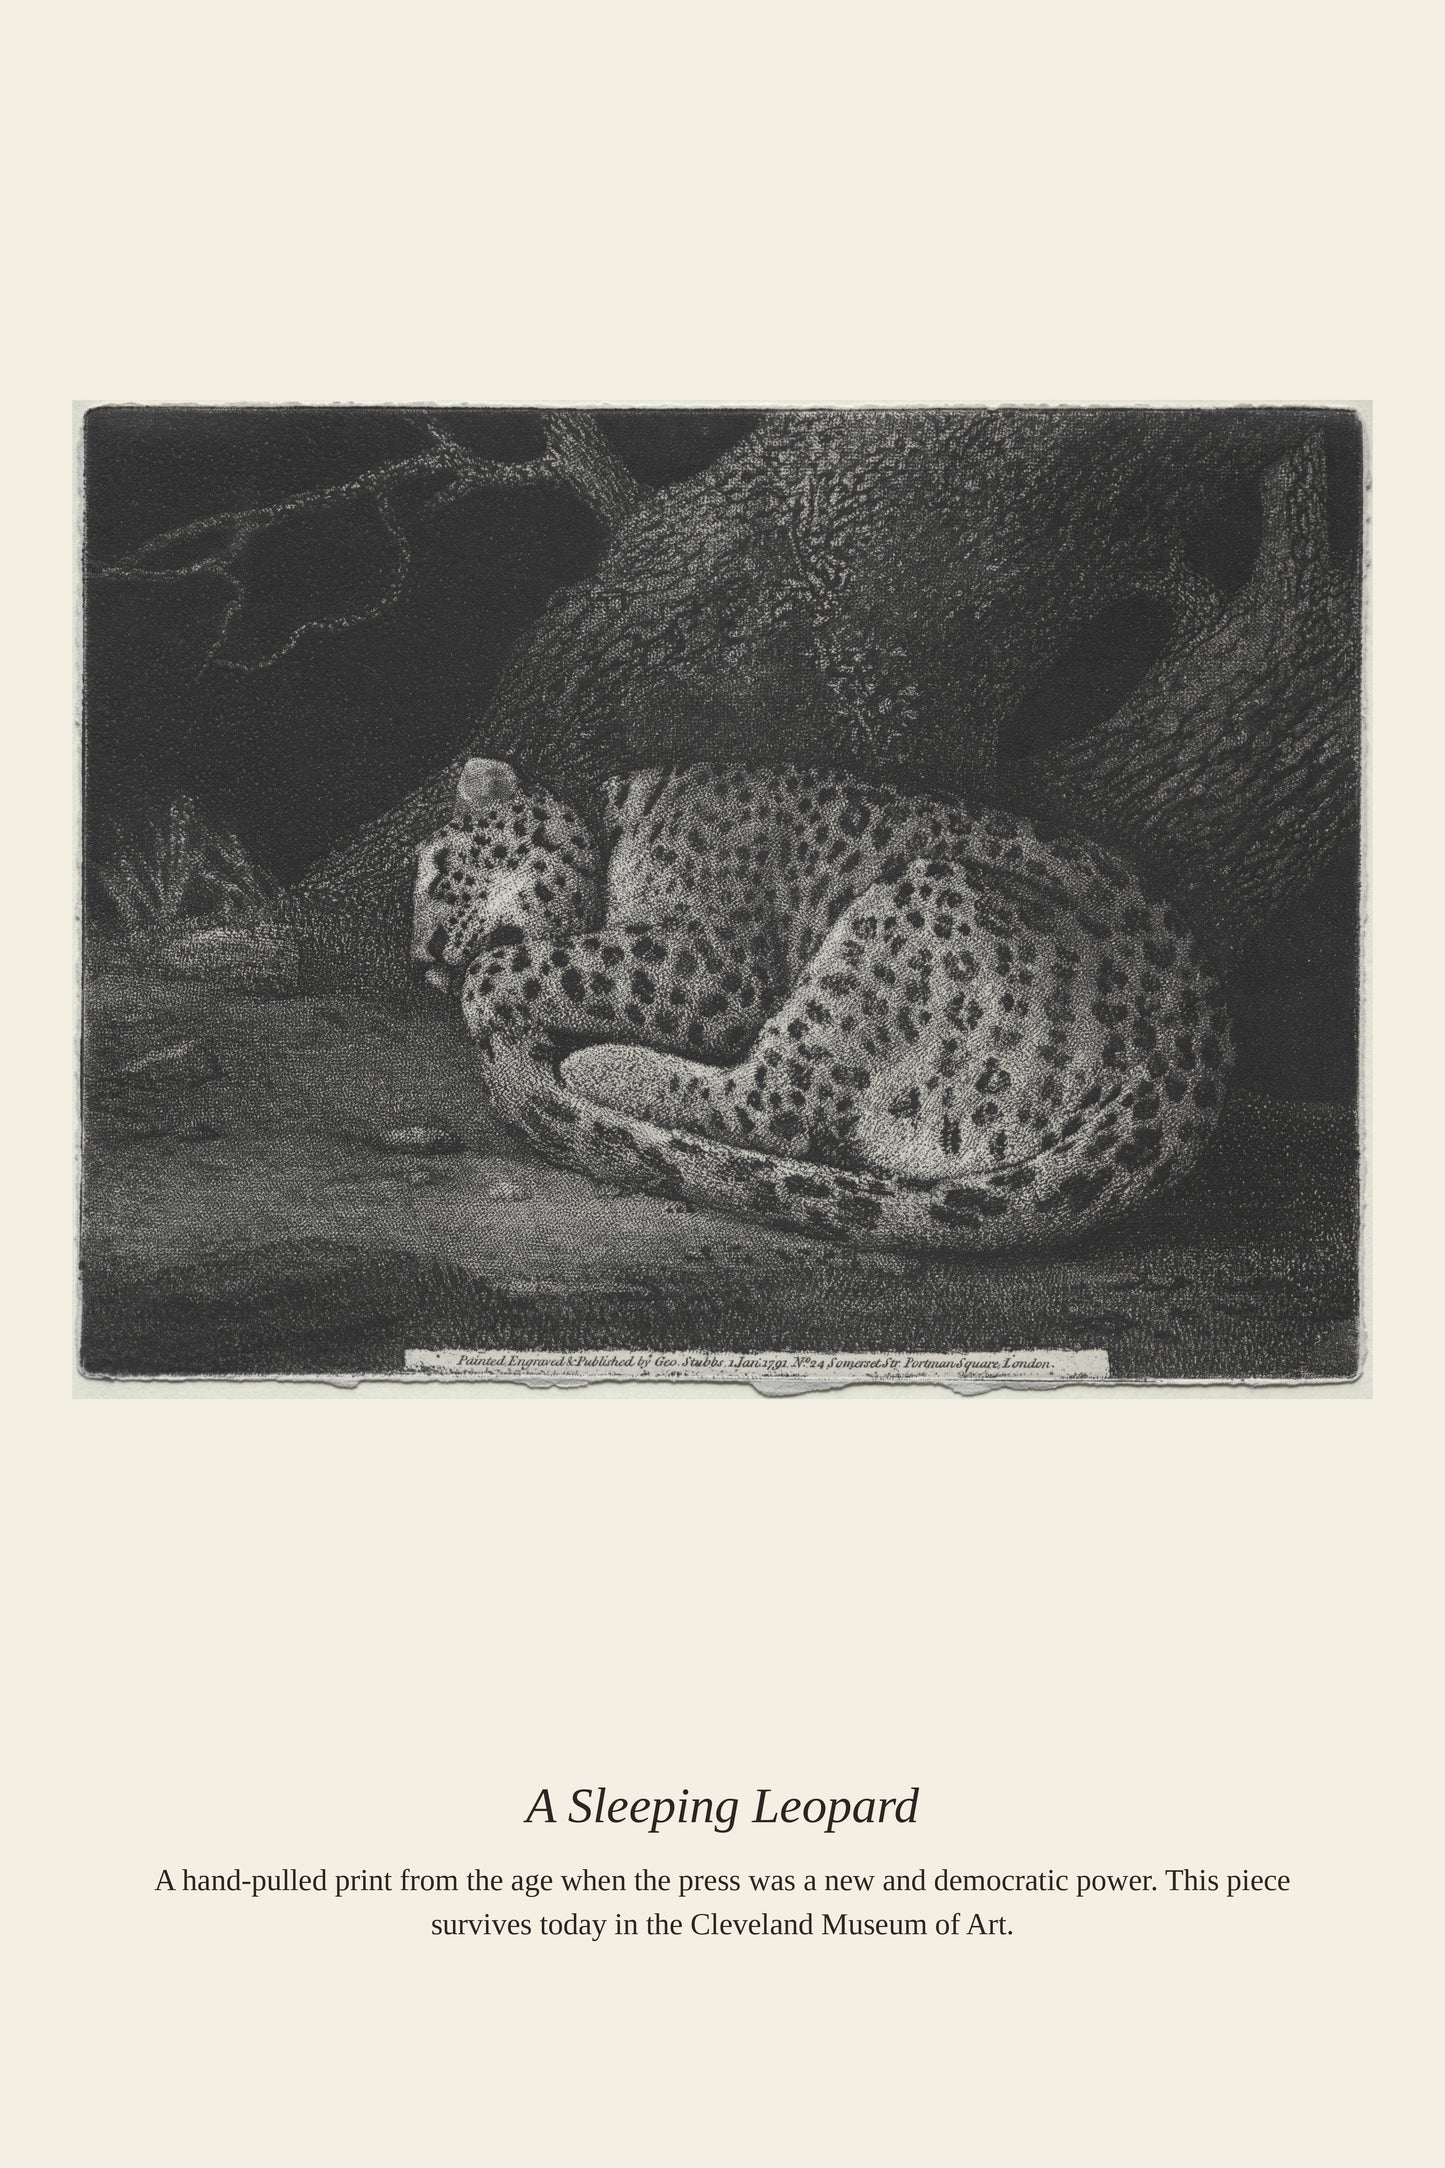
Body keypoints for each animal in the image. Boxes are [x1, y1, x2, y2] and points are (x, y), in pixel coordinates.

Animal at [411, 757, 1232, 1250]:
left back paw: (592, 1065)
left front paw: (489, 995)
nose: (421, 963)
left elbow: (531, 962)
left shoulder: (711, 965)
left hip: (906, 912)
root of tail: (1188, 1068)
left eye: (439, 872)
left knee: (774, 1105)